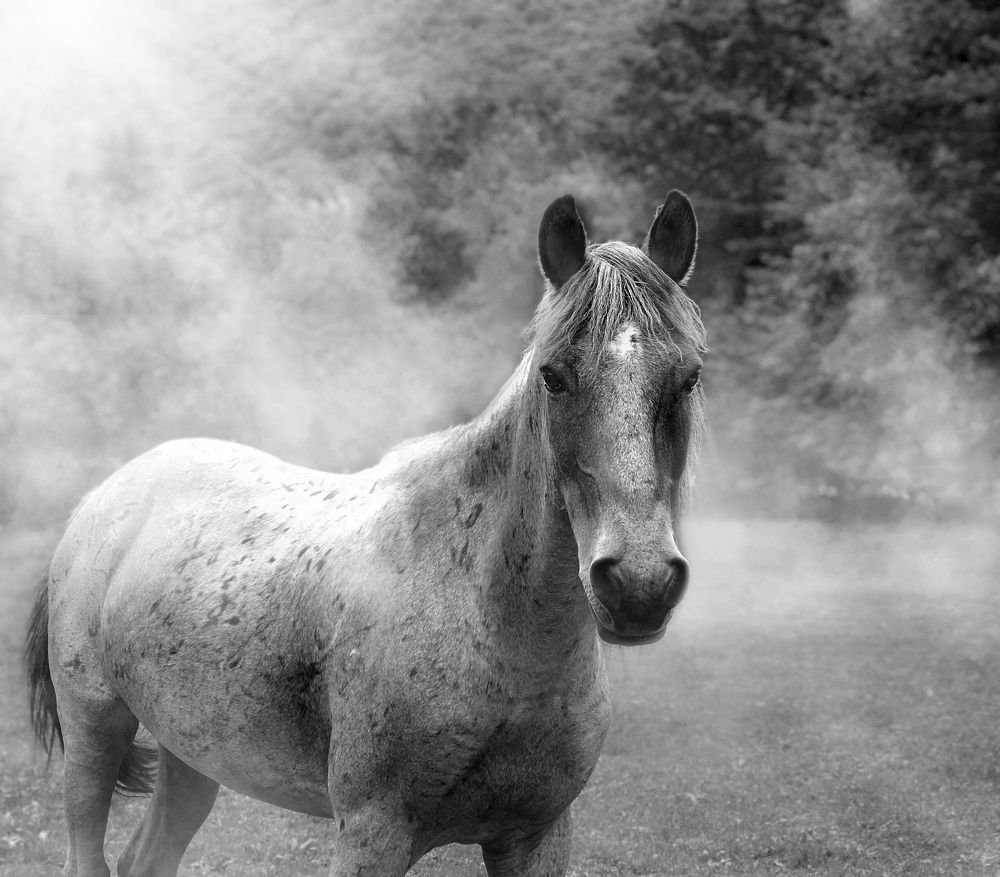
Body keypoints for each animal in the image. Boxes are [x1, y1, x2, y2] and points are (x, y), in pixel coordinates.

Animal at [25, 190, 707, 877]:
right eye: (554, 376)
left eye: (688, 377)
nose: (638, 584)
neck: (494, 628)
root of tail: (105, 496)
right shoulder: (372, 833)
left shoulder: (536, 835)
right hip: (94, 733)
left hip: (191, 753)